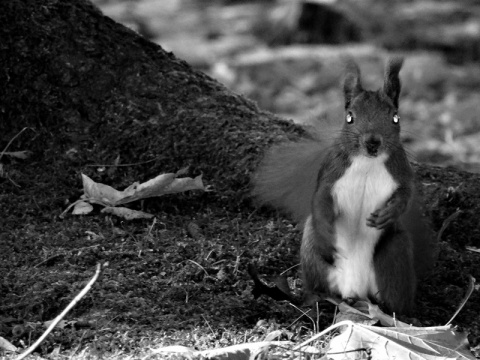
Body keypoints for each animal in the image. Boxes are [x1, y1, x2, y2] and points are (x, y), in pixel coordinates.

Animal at [253, 57, 434, 314]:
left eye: (395, 117)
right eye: (349, 117)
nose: (372, 142)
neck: (367, 162)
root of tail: (354, 290)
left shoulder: (402, 173)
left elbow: (406, 194)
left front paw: (388, 213)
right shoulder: (330, 174)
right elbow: (319, 199)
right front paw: (328, 235)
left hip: (395, 254)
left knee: (396, 295)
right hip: (312, 253)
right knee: (316, 278)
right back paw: (313, 299)